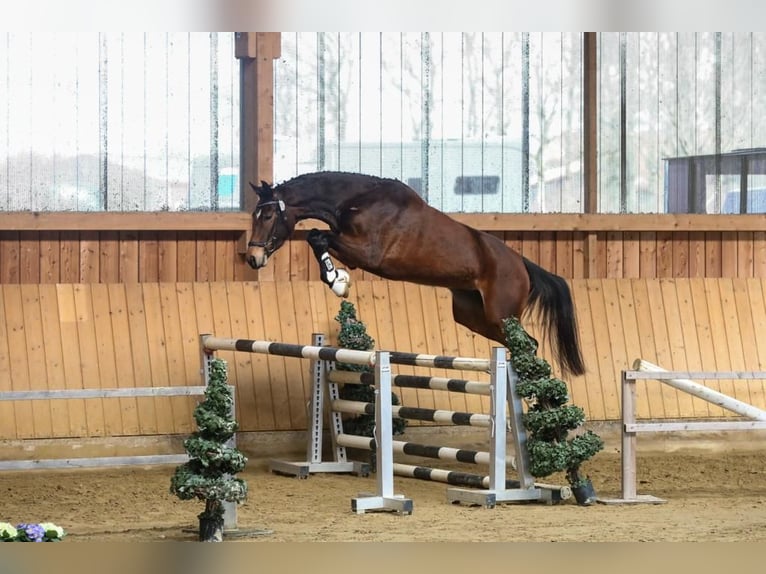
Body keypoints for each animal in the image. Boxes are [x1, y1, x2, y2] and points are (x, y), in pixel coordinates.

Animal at [249, 171, 584, 378]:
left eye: (268, 215)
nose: (253, 258)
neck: (357, 200)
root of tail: (522, 264)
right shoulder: (354, 252)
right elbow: (317, 238)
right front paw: (338, 279)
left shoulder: (369, 253)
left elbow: (317, 236)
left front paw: (337, 282)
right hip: (475, 316)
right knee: (523, 344)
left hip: (501, 313)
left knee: (529, 345)